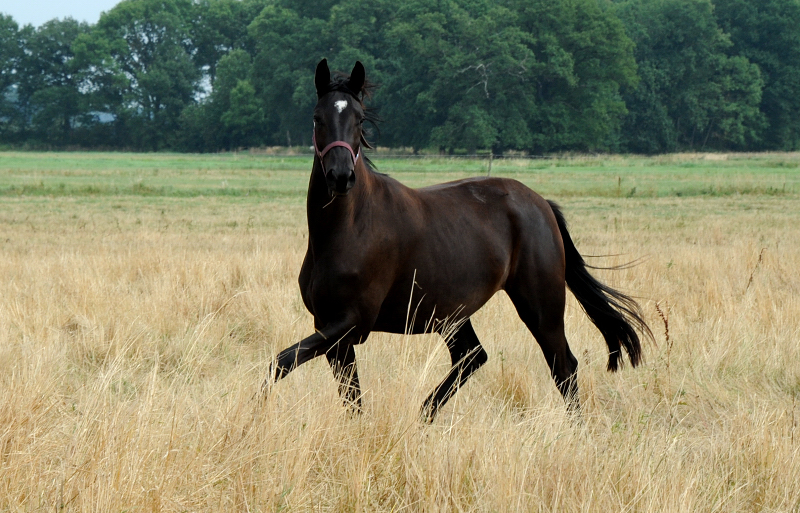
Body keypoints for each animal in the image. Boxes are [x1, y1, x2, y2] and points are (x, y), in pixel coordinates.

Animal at [266, 59, 652, 420]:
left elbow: (279, 363)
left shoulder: (352, 323)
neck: (347, 230)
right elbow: (348, 396)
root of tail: (541, 204)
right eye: (317, 118)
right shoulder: (331, 330)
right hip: (452, 315)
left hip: (540, 305)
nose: (341, 176)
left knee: (562, 365)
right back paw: (423, 416)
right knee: (472, 356)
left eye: (360, 120)